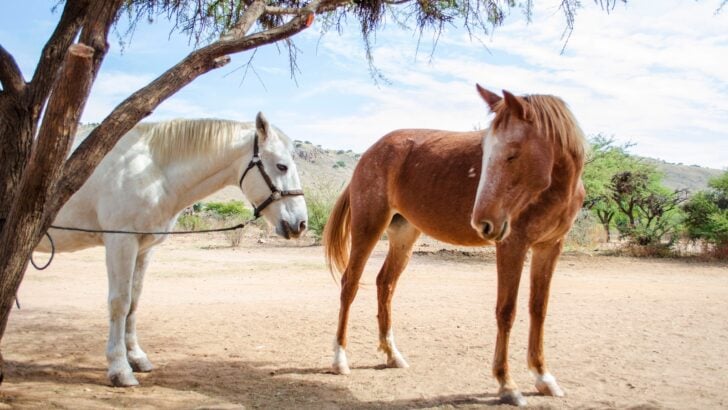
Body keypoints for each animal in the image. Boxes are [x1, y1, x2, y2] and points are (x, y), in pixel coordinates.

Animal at [33, 112, 308, 387]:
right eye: (282, 166)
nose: (301, 223)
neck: (152, 170)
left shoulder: (143, 248)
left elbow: (134, 301)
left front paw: (137, 358)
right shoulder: (120, 242)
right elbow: (120, 303)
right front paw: (120, 368)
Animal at [323, 85, 586, 406]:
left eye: (512, 153)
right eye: (485, 153)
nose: (483, 222)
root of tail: (370, 151)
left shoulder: (550, 247)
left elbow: (539, 309)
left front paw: (543, 377)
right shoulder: (512, 244)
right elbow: (506, 311)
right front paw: (506, 384)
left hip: (404, 235)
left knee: (385, 283)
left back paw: (392, 354)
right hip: (368, 226)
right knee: (350, 283)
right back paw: (339, 359)